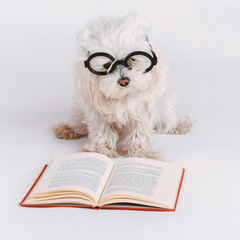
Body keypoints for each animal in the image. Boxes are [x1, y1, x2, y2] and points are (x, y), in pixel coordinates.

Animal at [51, 14, 196, 160]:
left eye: (132, 59)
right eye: (106, 65)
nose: (124, 81)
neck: (124, 96)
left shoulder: (144, 110)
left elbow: (141, 132)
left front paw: (143, 153)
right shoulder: (96, 112)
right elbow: (102, 130)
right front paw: (100, 150)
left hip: (166, 109)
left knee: (167, 122)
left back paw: (180, 125)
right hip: (78, 111)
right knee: (79, 125)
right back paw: (67, 129)